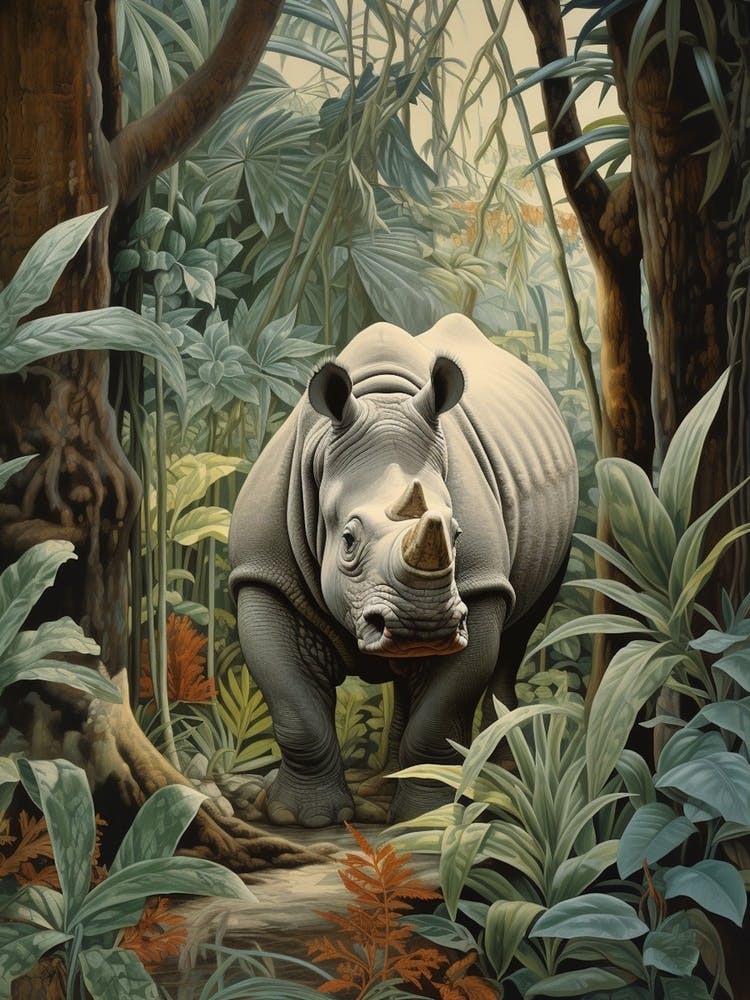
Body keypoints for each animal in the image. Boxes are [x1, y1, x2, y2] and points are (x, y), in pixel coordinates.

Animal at [229, 313, 578, 826]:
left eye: (457, 534)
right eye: (348, 540)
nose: (423, 625)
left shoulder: (480, 587)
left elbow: (440, 717)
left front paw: (426, 819)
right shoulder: (262, 574)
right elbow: (296, 708)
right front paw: (303, 818)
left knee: (519, 636)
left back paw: (502, 783)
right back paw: (384, 785)